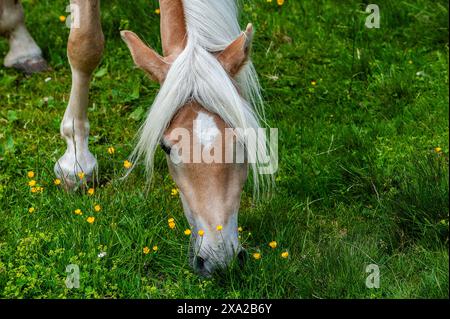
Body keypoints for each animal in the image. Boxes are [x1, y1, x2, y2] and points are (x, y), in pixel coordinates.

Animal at [1, 0, 272, 278]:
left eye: (242, 143)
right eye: (166, 148)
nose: (219, 260)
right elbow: (84, 46)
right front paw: (76, 161)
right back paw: (22, 48)